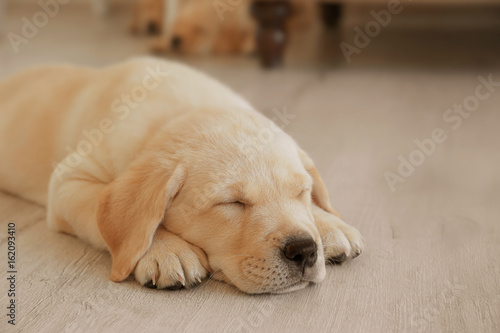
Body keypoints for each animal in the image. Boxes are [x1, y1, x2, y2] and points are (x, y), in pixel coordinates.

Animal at [0, 57, 368, 294]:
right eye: (232, 203)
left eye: (301, 192)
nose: (304, 250)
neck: (183, 111)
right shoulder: (67, 182)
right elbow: (118, 219)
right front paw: (165, 250)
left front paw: (328, 222)